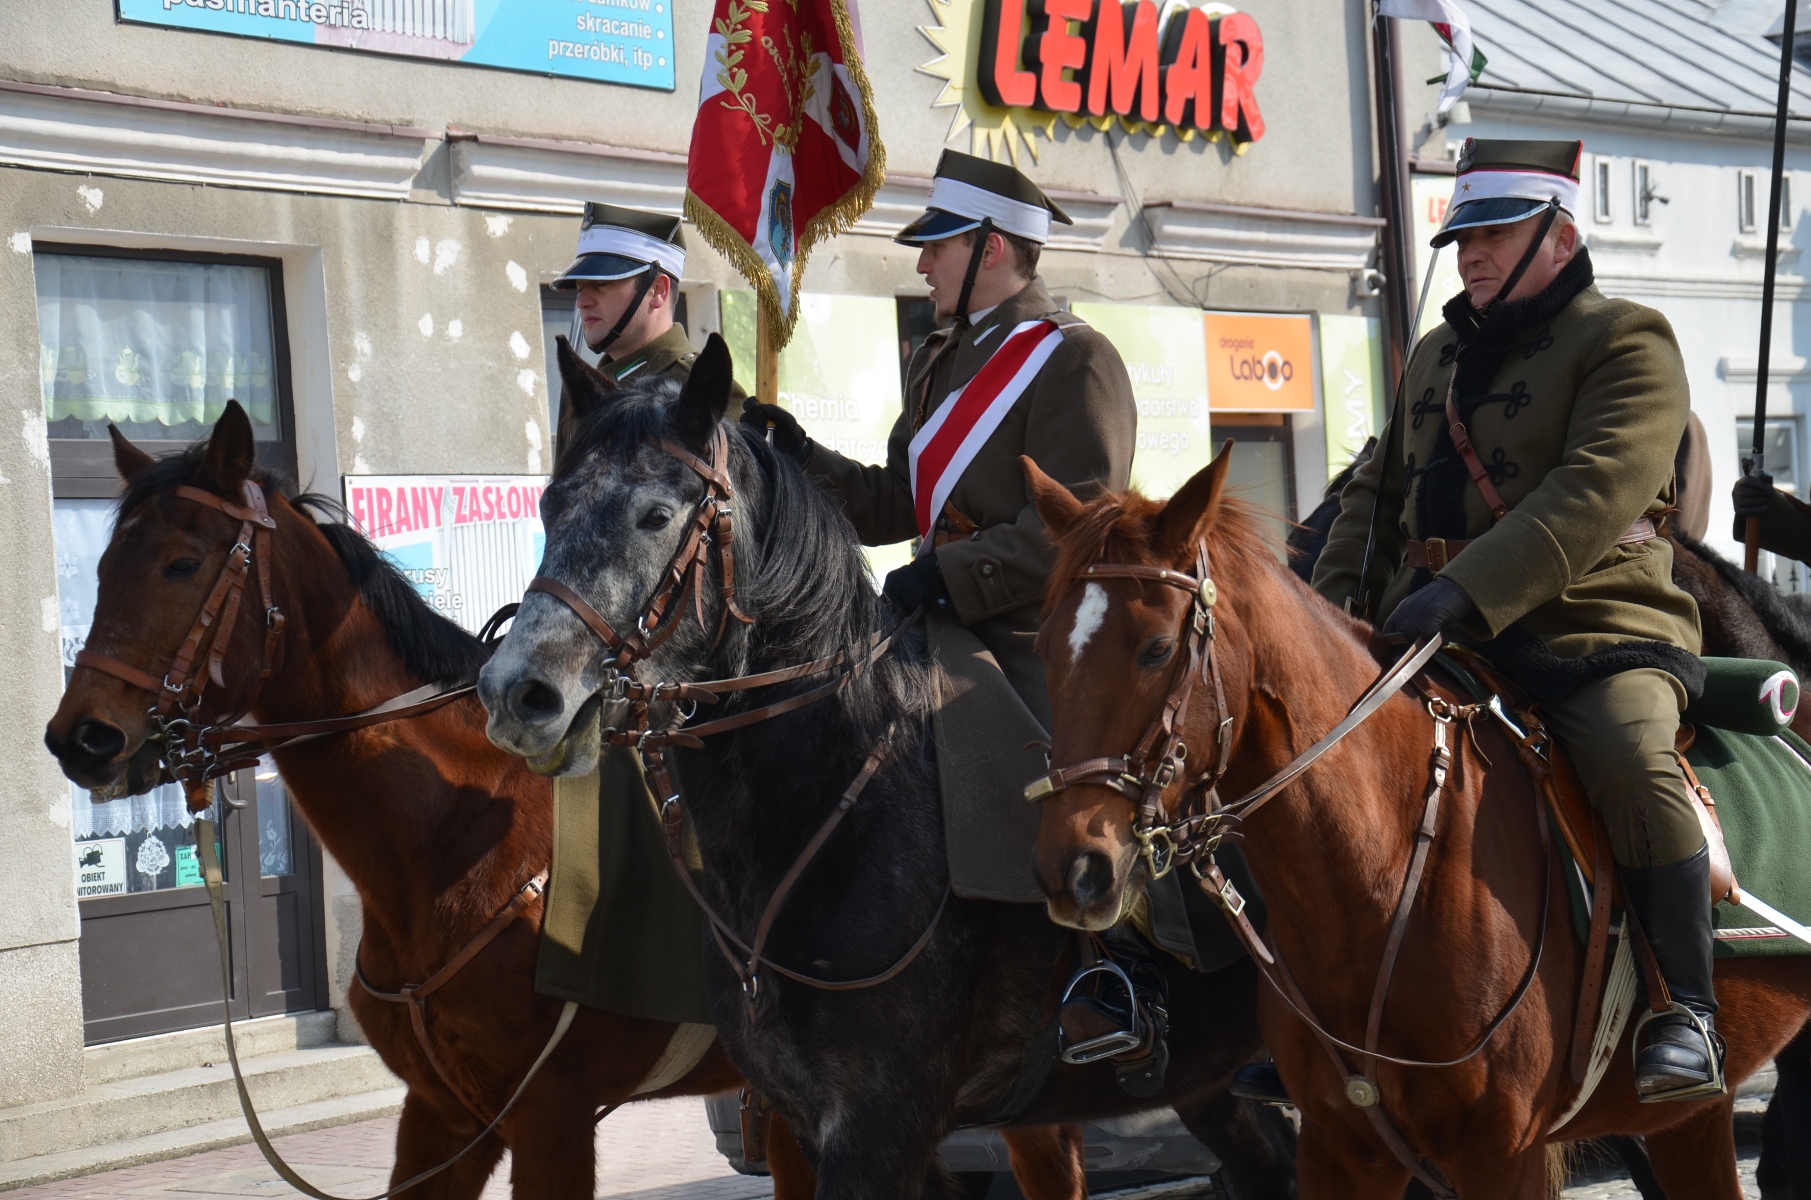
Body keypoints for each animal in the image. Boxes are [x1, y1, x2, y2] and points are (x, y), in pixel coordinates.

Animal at [481, 338, 1303, 1200]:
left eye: (656, 515)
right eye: (550, 508)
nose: (517, 692)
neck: (825, 807)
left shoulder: (878, 1124)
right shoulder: (820, 1125)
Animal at [1028, 450, 1811, 1200]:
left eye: (1156, 648)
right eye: (1046, 648)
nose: (1076, 870)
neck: (1378, 874)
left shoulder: (1501, 1153)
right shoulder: (1342, 1148)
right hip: (1687, 1118)